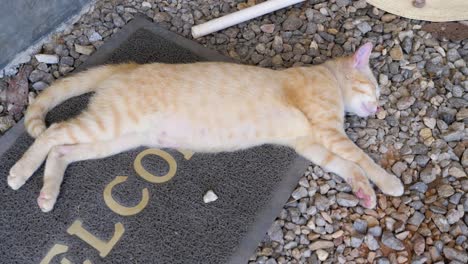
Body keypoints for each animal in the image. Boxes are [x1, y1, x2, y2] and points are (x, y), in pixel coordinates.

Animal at [6, 43, 402, 212]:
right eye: (375, 88)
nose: (380, 107)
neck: (328, 77)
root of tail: (128, 66)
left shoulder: (311, 143)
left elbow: (346, 166)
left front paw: (364, 192)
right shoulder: (328, 132)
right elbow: (361, 158)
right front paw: (388, 182)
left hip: (116, 138)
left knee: (61, 149)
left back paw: (47, 195)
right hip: (107, 125)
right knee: (51, 133)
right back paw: (20, 173)